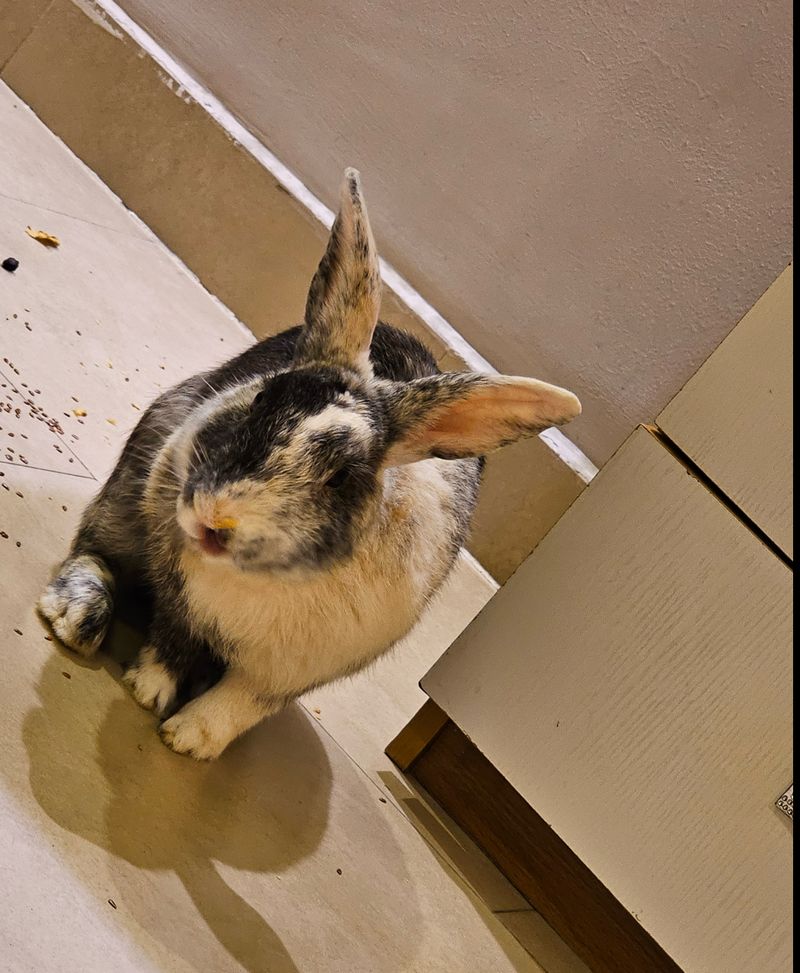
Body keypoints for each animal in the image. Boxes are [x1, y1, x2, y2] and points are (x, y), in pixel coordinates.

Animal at [37, 169, 581, 760]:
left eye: (342, 477)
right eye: (260, 400)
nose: (213, 518)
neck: (261, 576)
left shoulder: (289, 673)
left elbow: (243, 702)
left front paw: (190, 740)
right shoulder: (181, 598)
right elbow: (172, 638)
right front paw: (149, 691)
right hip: (136, 471)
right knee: (94, 550)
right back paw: (76, 620)